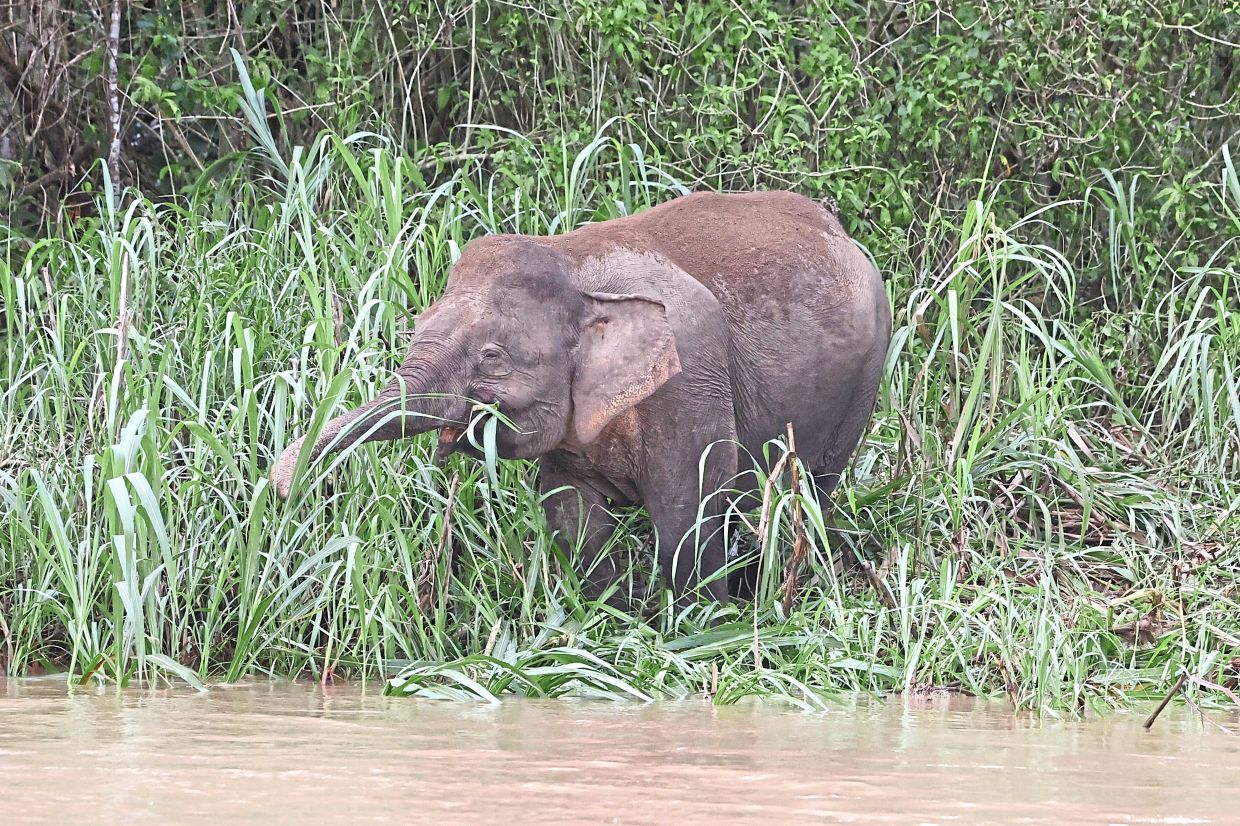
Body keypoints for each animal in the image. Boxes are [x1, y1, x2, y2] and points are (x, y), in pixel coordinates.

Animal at [272, 190, 891, 604]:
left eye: (492, 356)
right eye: (417, 325)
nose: (280, 483)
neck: (573, 265)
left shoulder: (690, 380)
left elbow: (687, 508)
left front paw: (699, 624)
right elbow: (569, 512)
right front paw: (611, 612)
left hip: (866, 375)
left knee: (811, 488)